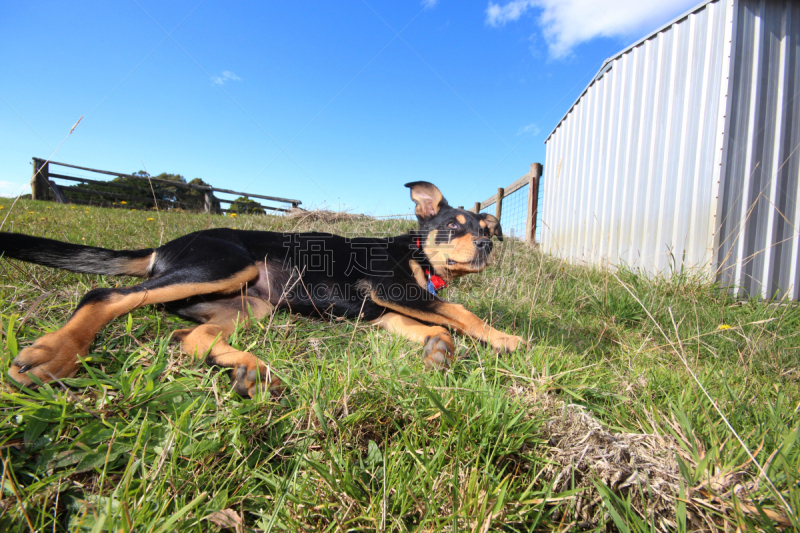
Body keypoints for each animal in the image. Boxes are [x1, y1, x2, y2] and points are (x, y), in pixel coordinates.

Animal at [4, 183, 524, 394]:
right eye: (452, 225)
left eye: (483, 227)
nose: (485, 244)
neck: (419, 255)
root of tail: (161, 247)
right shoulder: (391, 292)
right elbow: (458, 312)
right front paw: (506, 339)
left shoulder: (379, 309)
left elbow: (435, 324)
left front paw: (437, 349)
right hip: (224, 265)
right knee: (104, 297)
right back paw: (54, 355)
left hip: (248, 306)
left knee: (189, 339)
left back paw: (250, 371)